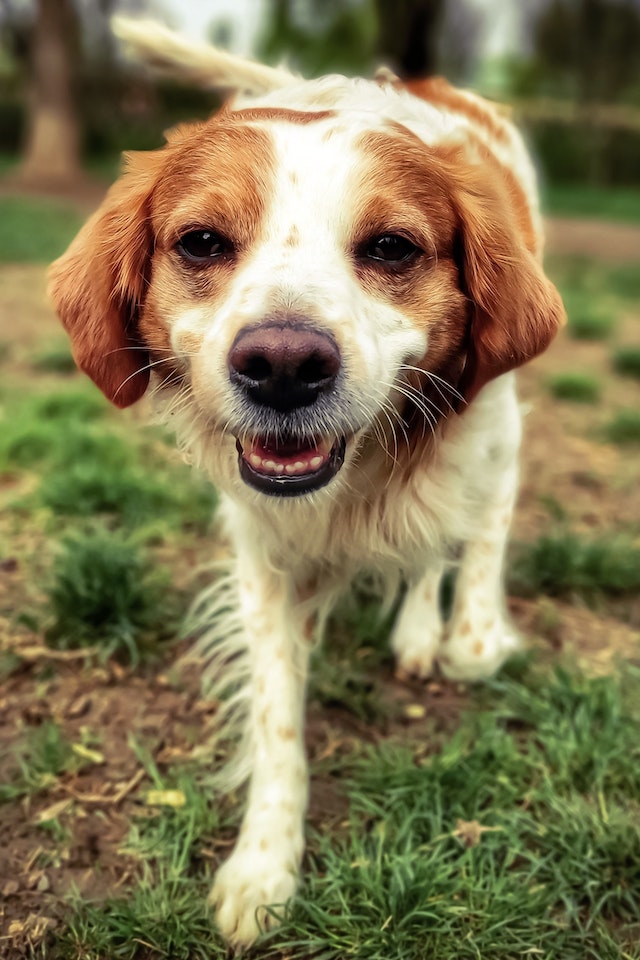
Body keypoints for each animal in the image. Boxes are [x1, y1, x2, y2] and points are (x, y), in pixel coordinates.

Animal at [48, 18, 564, 948]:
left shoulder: (496, 438)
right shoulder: (260, 549)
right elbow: (277, 716)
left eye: (392, 248)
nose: (283, 365)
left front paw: (462, 632)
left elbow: (472, 579)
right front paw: (265, 866)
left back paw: (420, 629)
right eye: (201, 242)